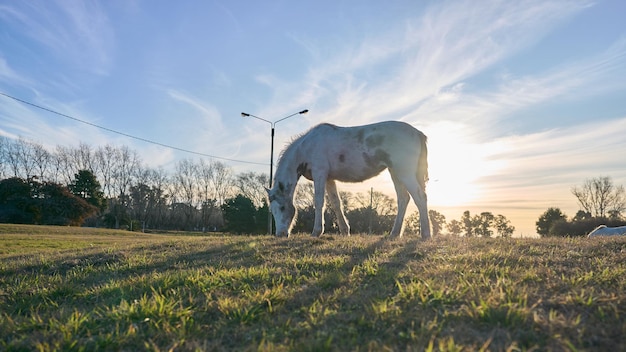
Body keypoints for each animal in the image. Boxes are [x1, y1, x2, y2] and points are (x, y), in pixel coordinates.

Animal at [264, 121, 428, 239]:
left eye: (282, 208)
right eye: (272, 210)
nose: (280, 234)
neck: (306, 147)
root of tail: (417, 133)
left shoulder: (320, 174)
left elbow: (319, 202)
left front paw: (316, 232)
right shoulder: (329, 179)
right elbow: (336, 203)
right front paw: (344, 231)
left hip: (404, 172)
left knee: (420, 197)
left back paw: (426, 234)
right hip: (395, 172)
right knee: (403, 199)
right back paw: (394, 234)